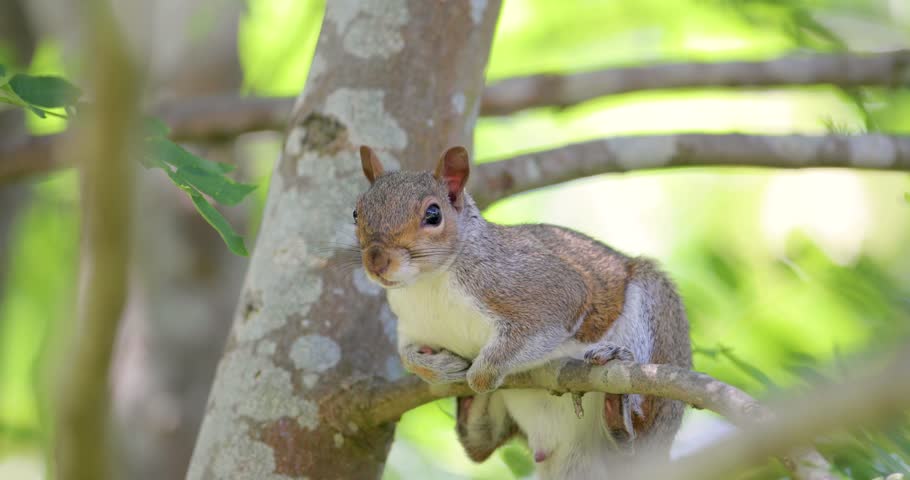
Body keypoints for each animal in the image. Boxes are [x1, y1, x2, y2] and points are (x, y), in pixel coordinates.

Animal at [352, 145, 692, 479]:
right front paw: (436, 367)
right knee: (480, 445)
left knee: (640, 432)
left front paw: (480, 374)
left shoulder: (533, 285)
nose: (376, 260)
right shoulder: (411, 326)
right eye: (356, 213)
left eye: (433, 214)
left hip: (656, 318)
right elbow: (406, 357)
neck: (427, 283)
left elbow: (543, 319)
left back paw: (618, 401)